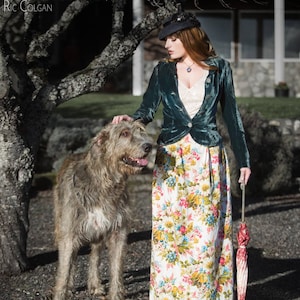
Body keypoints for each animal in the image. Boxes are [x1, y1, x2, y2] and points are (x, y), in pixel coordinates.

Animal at [52, 120, 152, 298]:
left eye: (141, 131)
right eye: (124, 133)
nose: (148, 146)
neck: (105, 181)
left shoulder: (118, 230)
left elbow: (116, 268)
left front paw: (115, 295)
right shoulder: (69, 232)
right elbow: (64, 270)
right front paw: (61, 292)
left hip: (98, 231)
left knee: (95, 257)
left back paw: (95, 285)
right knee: (73, 257)